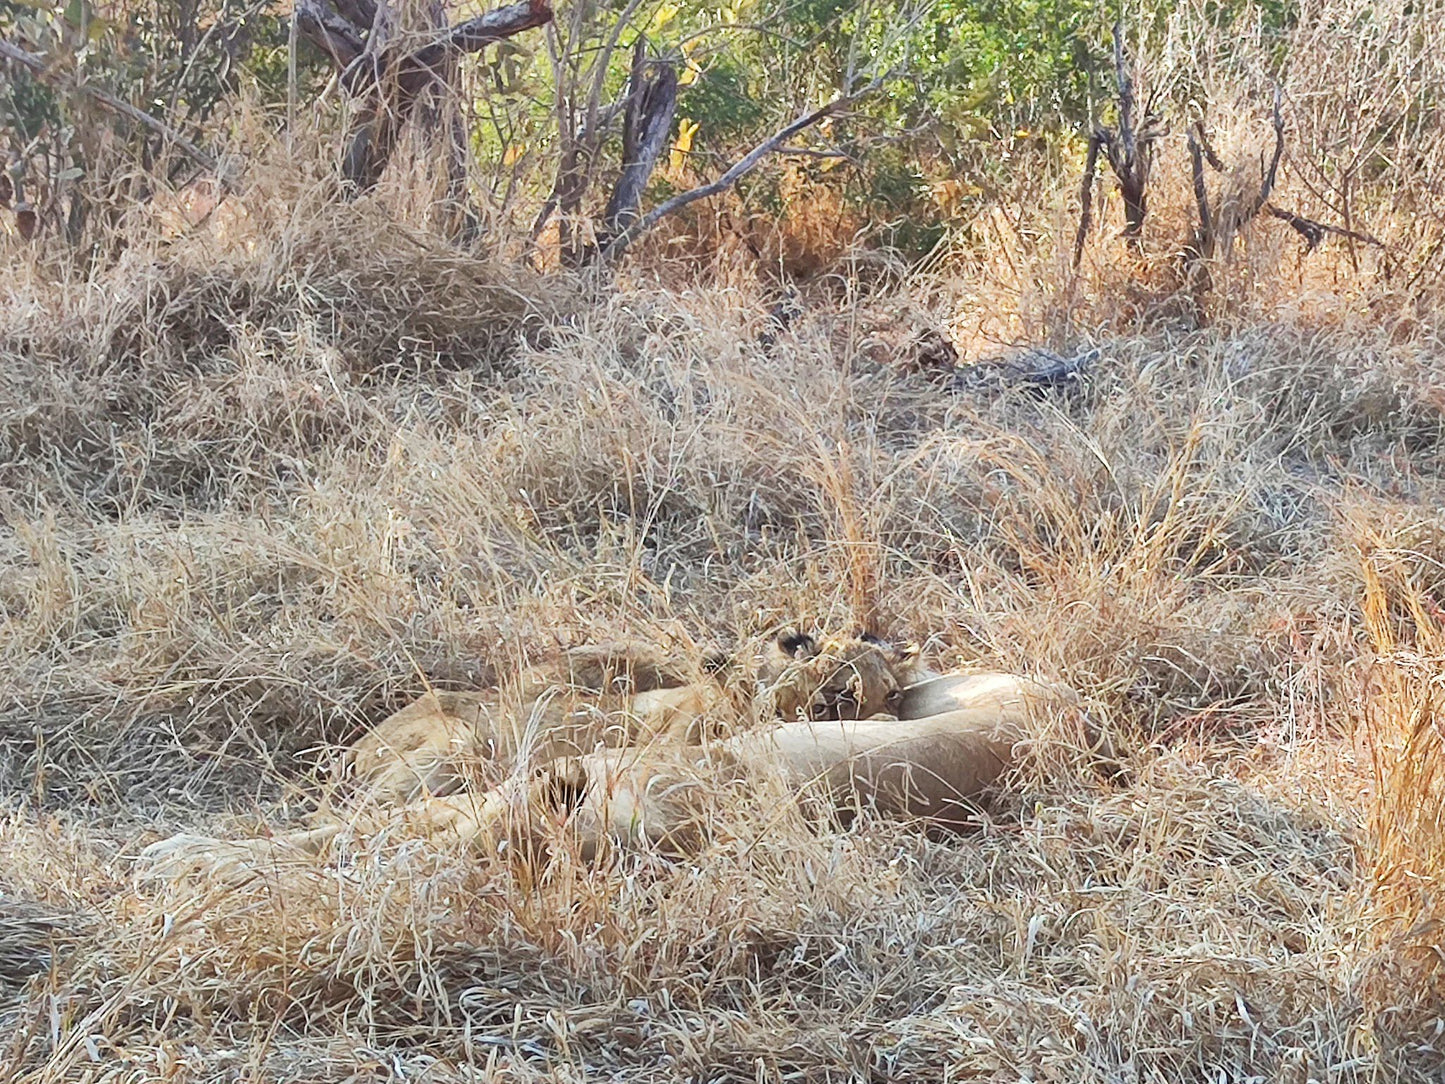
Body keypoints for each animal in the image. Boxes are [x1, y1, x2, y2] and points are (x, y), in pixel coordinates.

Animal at [140, 633, 1115, 878]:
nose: (838, 690)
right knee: (374, 827)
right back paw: (176, 854)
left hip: (529, 786)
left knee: (382, 837)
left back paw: (183, 861)